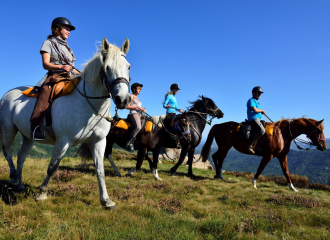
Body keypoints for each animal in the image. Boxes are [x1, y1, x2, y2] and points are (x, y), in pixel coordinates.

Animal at [0, 37, 131, 208]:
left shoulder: (99, 142)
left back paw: (20, 184)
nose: (123, 99)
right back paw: (14, 177)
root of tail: (7, 93)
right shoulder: (63, 141)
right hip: (8, 129)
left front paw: (106, 200)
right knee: (7, 152)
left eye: (128, 67)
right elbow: (52, 167)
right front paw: (42, 192)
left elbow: (100, 170)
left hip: (28, 136)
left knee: (21, 157)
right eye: (107, 67)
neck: (88, 103)